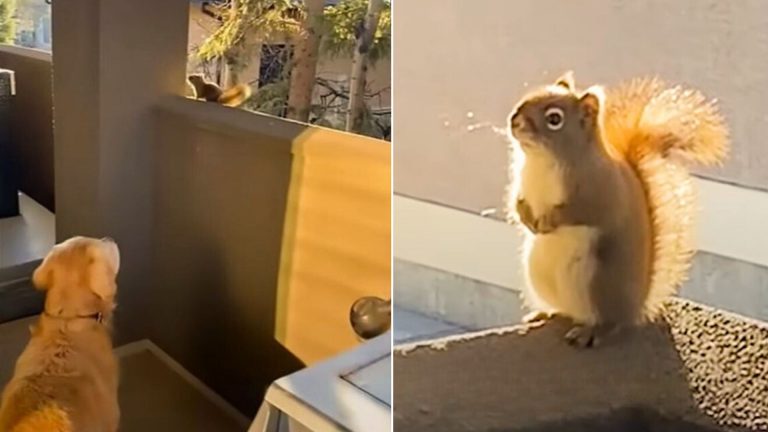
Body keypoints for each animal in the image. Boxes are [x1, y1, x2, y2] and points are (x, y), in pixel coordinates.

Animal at [507, 71, 729, 348]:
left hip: (598, 282)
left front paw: (549, 220)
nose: (514, 121)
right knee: (568, 312)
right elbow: (516, 202)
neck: (542, 160)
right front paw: (527, 218)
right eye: (527, 97)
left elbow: (582, 211)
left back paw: (591, 331)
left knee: (609, 322)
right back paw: (547, 313)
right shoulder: (521, 183)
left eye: (554, 119)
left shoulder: (601, 191)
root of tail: (634, 309)